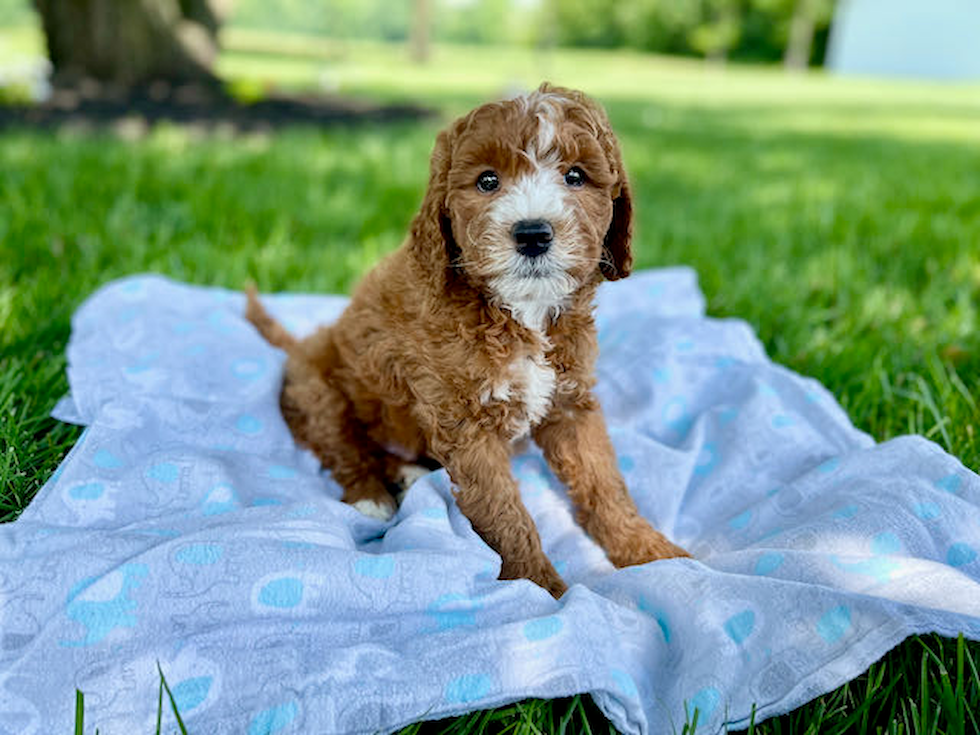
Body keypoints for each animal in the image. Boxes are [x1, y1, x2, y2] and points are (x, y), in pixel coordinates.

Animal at [245, 83, 688, 600]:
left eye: (575, 176)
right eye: (487, 181)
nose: (532, 234)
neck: (520, 310)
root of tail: (298, 345)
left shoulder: (571, 402)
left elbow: (604, 483)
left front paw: (649, 550)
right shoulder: (465, 422)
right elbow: (504, 511)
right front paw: (543, 588)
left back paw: (405, 473)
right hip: (316, 385)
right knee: (341, 442)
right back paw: (372, 493)